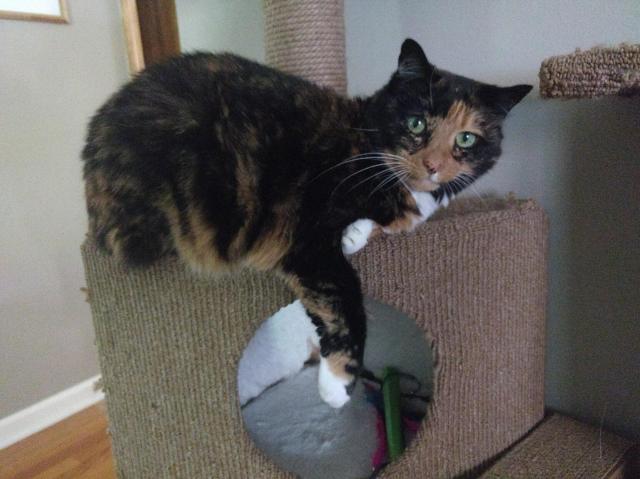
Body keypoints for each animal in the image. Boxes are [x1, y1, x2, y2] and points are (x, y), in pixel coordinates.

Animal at [82, 39, 528, 408]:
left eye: (466, 139)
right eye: (417, 123)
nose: (434, 166)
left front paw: (359, 233)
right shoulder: (305, 236)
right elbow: (345, 296)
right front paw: (338, 384)